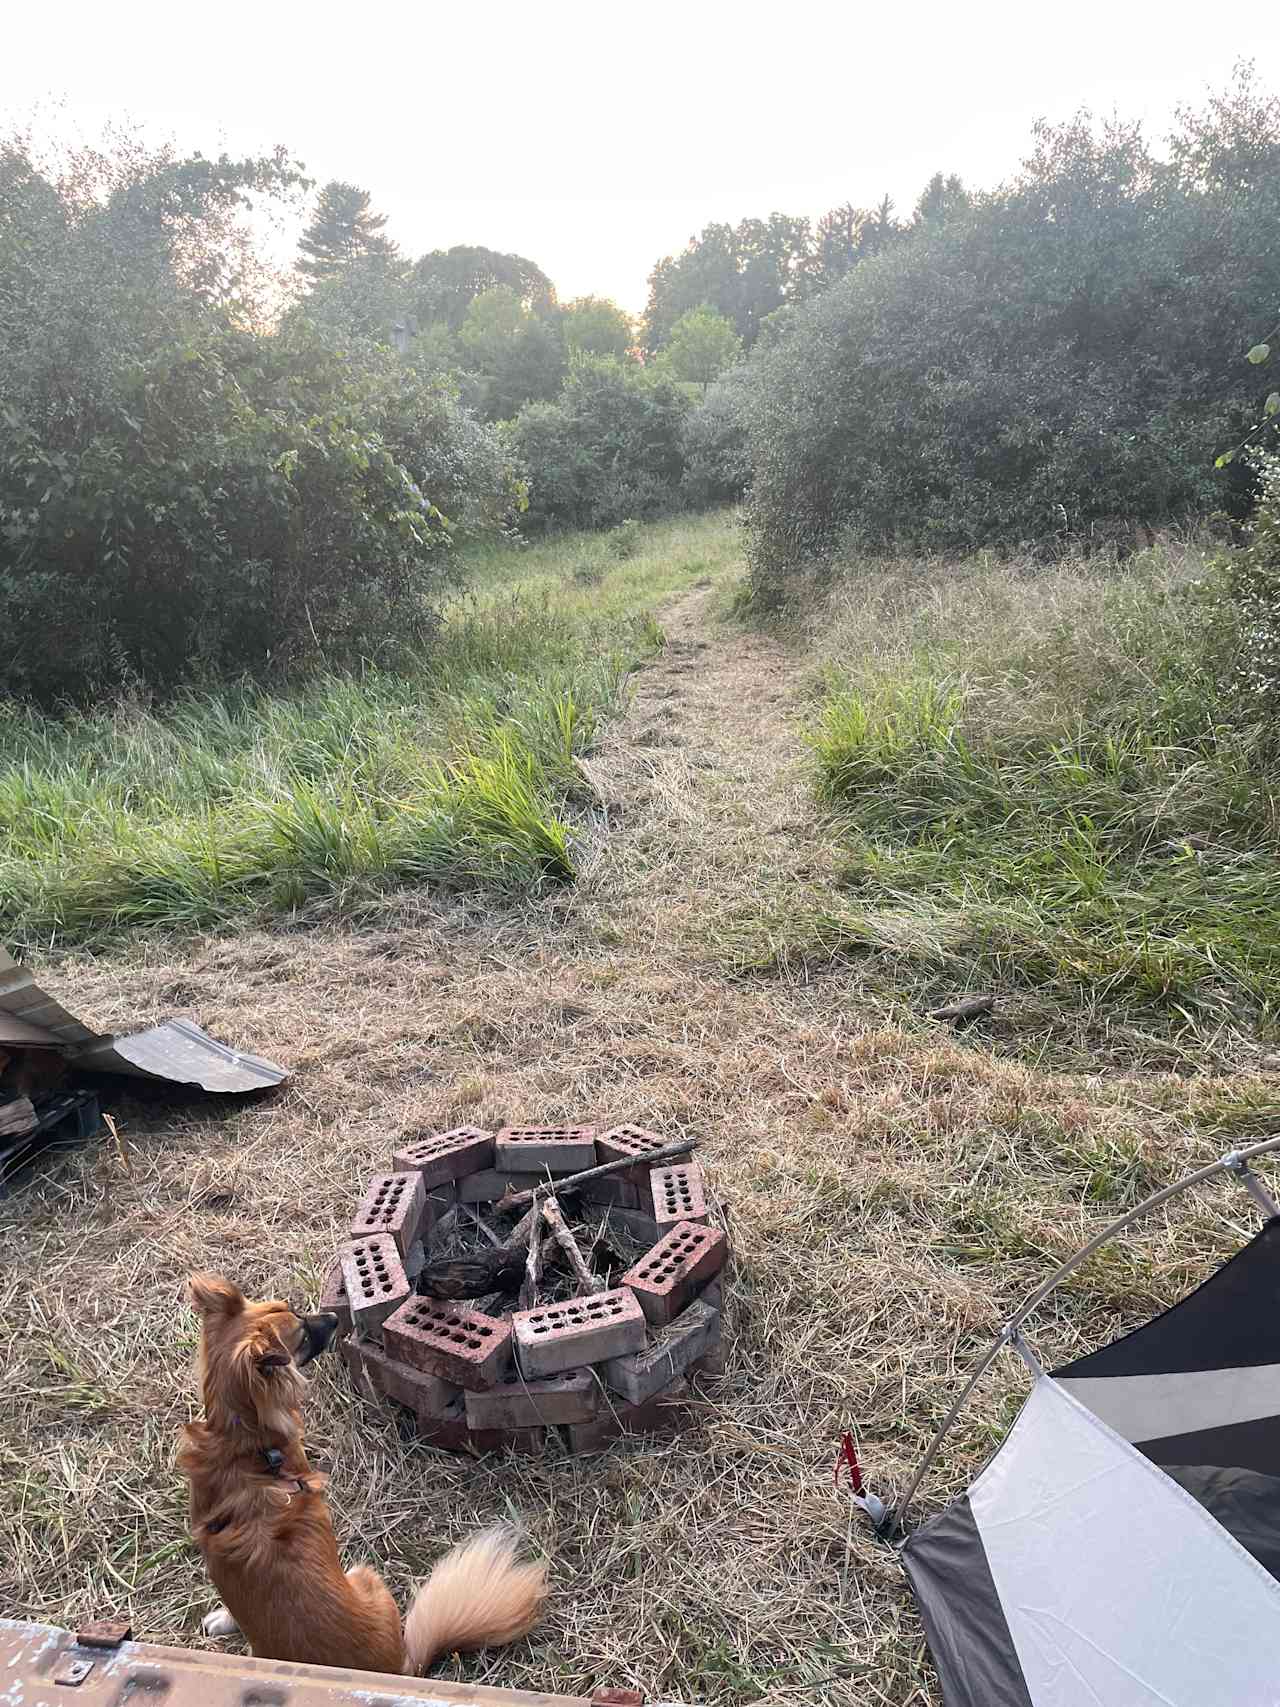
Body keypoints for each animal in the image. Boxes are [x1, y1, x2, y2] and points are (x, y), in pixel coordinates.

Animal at [178, 1276, 549, 1672]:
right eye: (301, 1335)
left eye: (295, 1311)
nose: (333, 1319)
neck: (242, 1442)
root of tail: (401, 1668)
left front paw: (223, 1618)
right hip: (367, 1577)